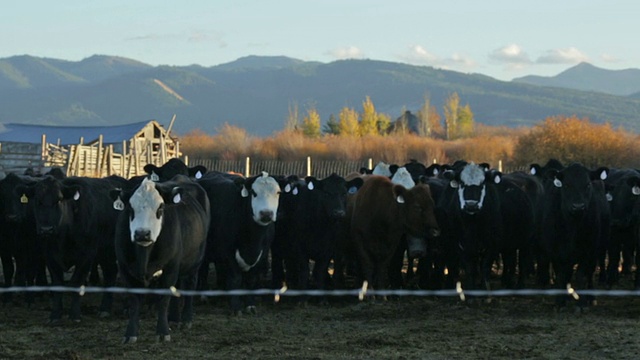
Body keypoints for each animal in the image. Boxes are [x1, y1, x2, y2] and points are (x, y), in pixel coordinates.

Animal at [19, 174, 127, 320]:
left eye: (59, 200)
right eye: (37, 201)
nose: (46, 229)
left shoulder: (87, 255)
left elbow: (77, 282)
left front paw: (75, 314)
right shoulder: (50, 256)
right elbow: (57, 284)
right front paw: (55, 314)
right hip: (105, 252)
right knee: (111, 272)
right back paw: (105, 308)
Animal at [111, 175, 209, 344]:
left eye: (160, 209)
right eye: (130, 209)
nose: (142, 234)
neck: (144, 255)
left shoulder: (170, 268)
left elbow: (163, 299)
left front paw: (163, 332)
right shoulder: (125, 269)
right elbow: (134, 301)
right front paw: (130, 334)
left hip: (195, 262)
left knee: (190, 285)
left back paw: (186, 319)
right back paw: (174, 319)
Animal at [198, 172, 282, 316]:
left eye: (278, 192)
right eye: (253, 192)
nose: (266, 214)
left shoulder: (263, 253)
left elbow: (252, 279)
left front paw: (250, 305)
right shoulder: (228, 252)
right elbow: (235, 278)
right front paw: (236, 307)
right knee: (203, 270)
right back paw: (203, 296)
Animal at [540, 162, 608, 306]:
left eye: (587, 185)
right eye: (566, 185)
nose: (578, 206)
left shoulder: (588, 251)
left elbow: (582, 276)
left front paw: (581, 305)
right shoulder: (556, 252)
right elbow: (561, 275)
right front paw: (560, 302)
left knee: (589, 274)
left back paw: (591, 298)